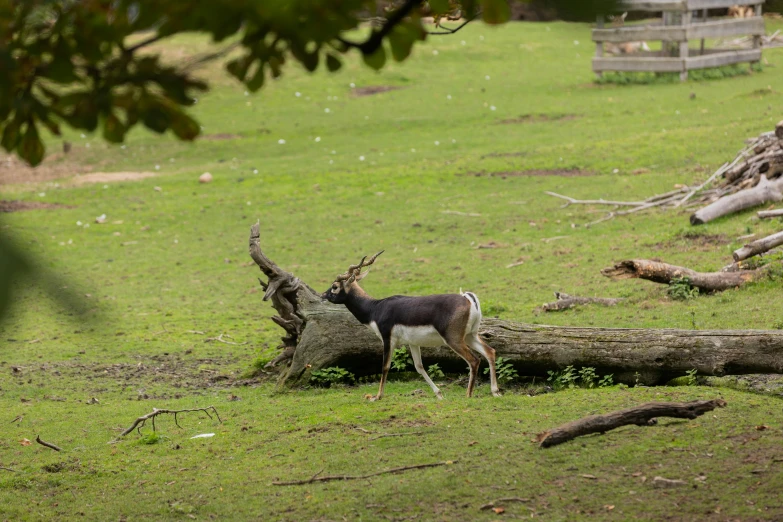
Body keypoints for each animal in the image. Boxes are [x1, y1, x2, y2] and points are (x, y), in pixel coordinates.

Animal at [322, 251, 500, 398]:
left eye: (335, 286)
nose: (323, 295)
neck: (375, 308)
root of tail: (467, 299)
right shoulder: (413, 343)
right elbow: (419, 366)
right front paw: (439, 394)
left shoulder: (387, 339)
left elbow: (385, 366)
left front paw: (377, 396)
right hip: (470, 335)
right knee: (490, 352)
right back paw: (495, 391)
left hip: (454, 339)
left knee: (474, 360)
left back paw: (468, 395)